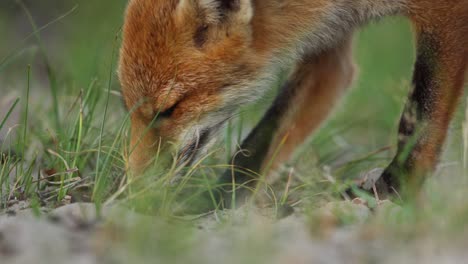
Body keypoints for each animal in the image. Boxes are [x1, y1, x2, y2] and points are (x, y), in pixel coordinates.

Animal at [119, 0, 468, 205]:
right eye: (129, 106)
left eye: (169, 109)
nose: (133, 192)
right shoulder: (329, 49)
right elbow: (260, 143)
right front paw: (210, 206)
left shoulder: (446, 13)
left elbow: (418, 120)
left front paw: (395, 189)